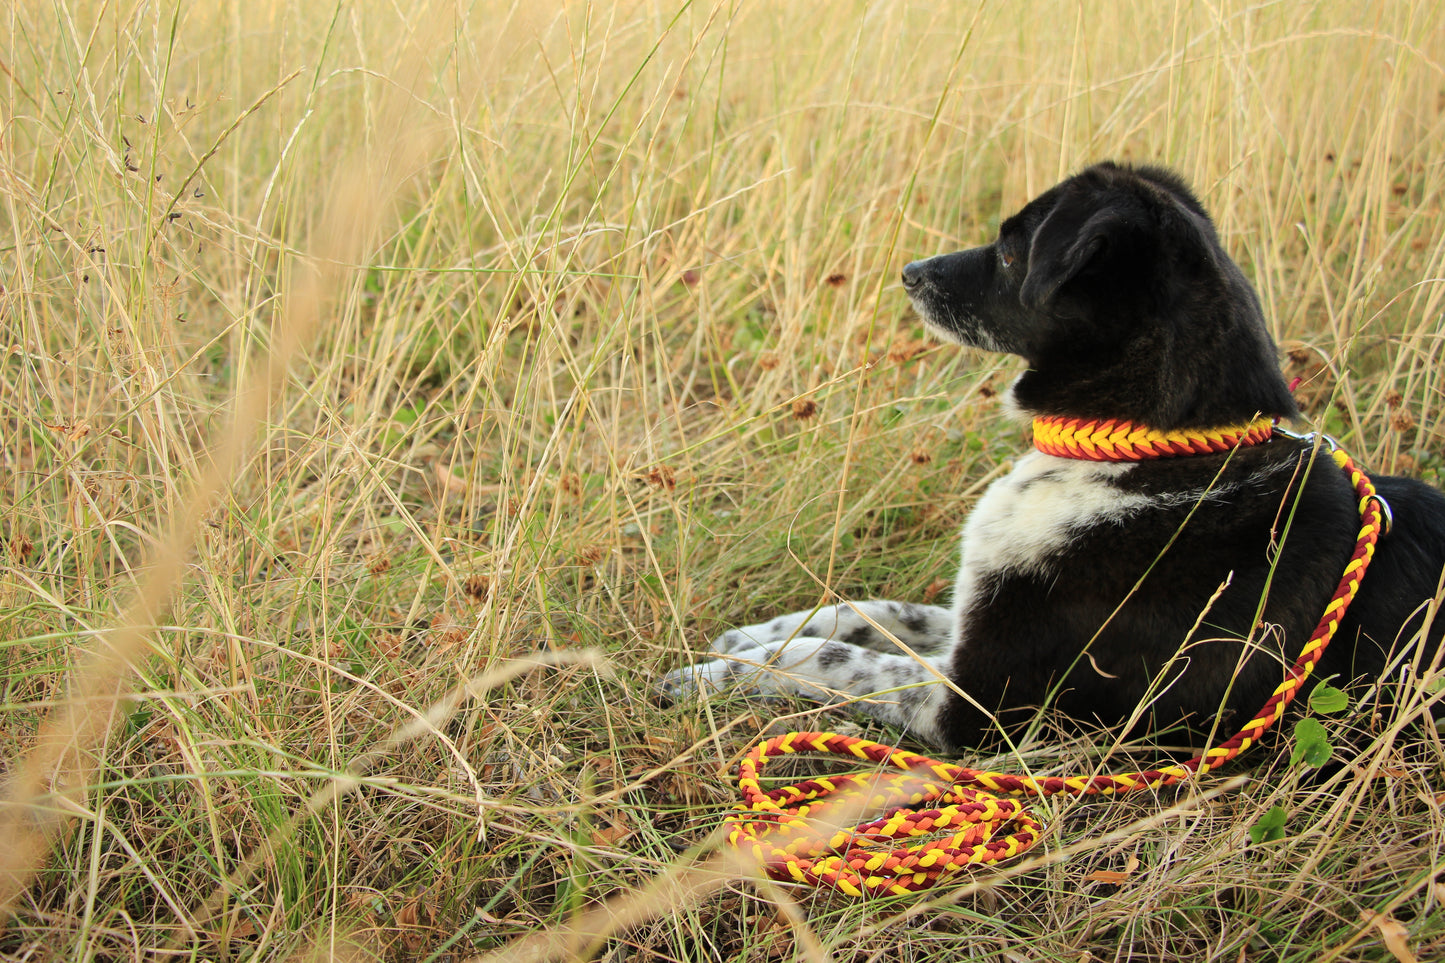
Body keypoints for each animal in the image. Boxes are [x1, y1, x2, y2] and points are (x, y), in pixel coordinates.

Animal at [661, 159, 1445, 751]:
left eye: (1012, 251)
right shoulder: (975, 618)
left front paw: (713, 675)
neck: (1151, 456)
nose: (910, 271)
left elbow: (837, 657)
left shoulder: (974, 703)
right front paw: (748, 634)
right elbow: (868, 607)